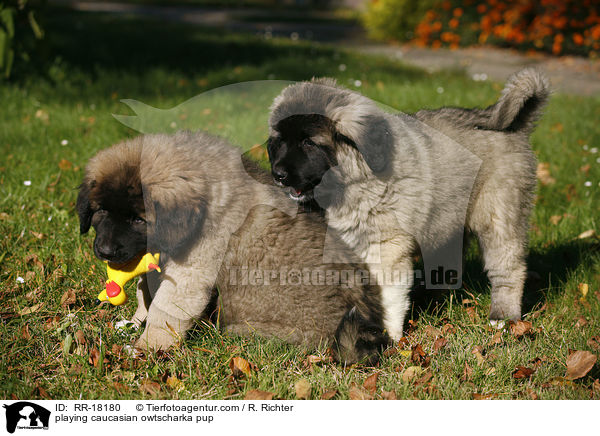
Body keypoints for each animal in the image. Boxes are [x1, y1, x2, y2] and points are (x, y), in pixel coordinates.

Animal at [77, 130, 390, 364]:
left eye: (138, 219)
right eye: (101, 211)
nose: (105, 252)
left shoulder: (190, 272)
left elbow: (164, 310)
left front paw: (144, 348)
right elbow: (145, 291)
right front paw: (133, 323)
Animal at [270, 69, 552, 340]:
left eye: (308, 143)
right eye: (280, 141)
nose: (278, 174)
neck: (349, 181)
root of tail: (514, 127)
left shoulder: (386, 247)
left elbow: (387, 296)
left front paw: (387, 336)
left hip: (497, 215)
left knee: (509, 267)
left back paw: (503, 317)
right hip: (447, 220)